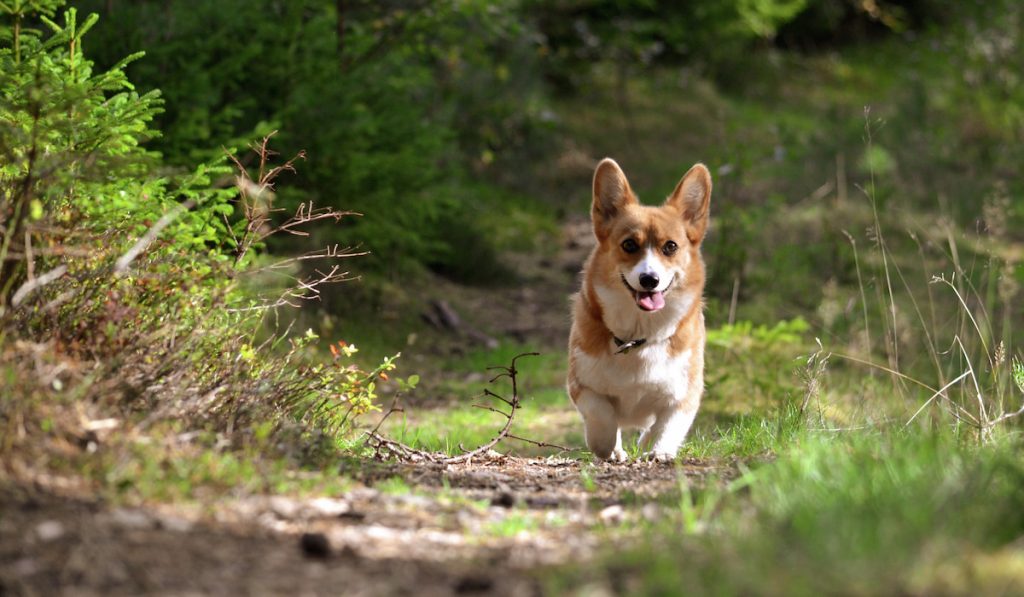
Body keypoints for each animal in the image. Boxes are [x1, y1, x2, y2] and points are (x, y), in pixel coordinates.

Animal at [569, 158, 712, 462]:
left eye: (670, 246)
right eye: (629, 244)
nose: (649, 279)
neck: (639, 335)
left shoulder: (685, 393)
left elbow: (667, 425)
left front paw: (659, 451)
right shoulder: (581, 385)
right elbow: (602, 415)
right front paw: (607, 447)